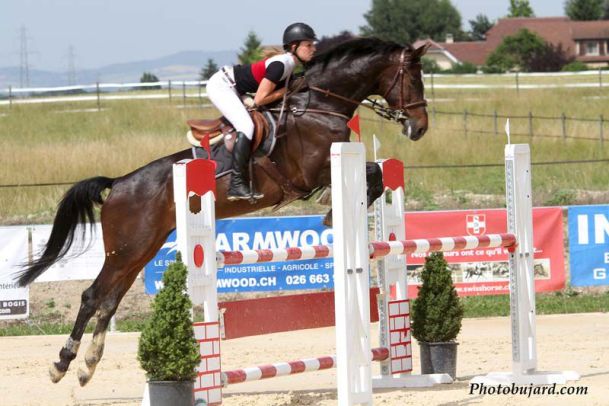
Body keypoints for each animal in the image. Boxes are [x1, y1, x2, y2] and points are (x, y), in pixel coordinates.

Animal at [15, 36, 429, 386]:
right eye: (412, 78)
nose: (420, 128)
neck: (319, 106)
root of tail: (118, 183)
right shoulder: (311, 171)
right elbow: (370, 173)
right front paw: (331, 210)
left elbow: (376, 174)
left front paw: (337, 207)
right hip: (127, 249)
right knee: (92, 297)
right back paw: (62, 363)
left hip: (140, 250)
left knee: (109, 300)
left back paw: (87, 366)